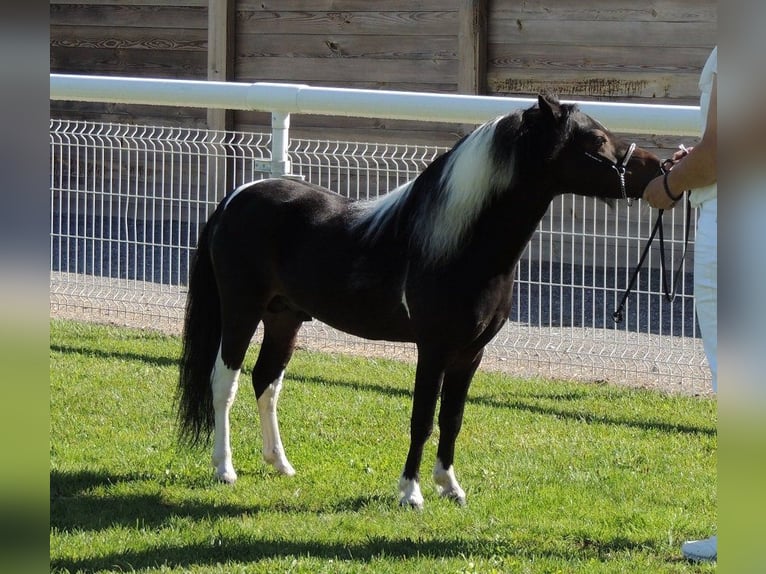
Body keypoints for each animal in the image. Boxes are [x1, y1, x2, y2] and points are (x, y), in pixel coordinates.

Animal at [177, 94, 662, 508]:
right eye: (595, 140)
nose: (656, 167)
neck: (462, 245)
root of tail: (236, 197)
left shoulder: (470, 354)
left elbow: (452, 419)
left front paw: (450, 486)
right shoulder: (433, 349)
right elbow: (422, 418)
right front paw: (411, 492)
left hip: (285, 318)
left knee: (266, 381)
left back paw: (281, 464)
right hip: (241, 311)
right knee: (225, 381)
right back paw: (224, 468)